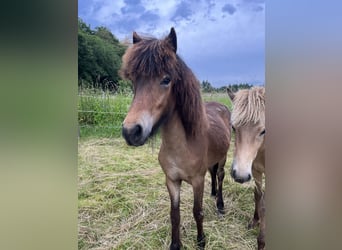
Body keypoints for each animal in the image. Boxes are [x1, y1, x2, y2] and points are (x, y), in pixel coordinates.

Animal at [121, 28, 231, 249]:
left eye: (166, 79)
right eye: (134, 81)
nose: (131, 131)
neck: (182, 147)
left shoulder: (197, 181)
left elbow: (197, 212)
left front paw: (201, 240)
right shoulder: (171, 181)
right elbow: (175, 215)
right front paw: (175, 244)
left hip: (223, 158)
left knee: (221, 175)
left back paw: (220, 204)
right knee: (213, 173)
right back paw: (213, 193)